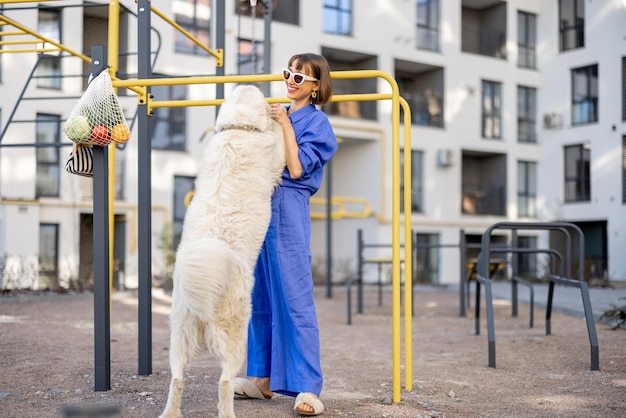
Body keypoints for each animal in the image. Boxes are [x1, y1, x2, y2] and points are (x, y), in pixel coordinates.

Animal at [157, 85, 284, 418]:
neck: (238, 129)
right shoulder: (277, 155)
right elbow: (279, 135)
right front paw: (280, 115)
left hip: (179, 338)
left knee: (177, 378)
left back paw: (170, 413)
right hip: (236, 338)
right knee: (225, 382)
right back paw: (228, 412)